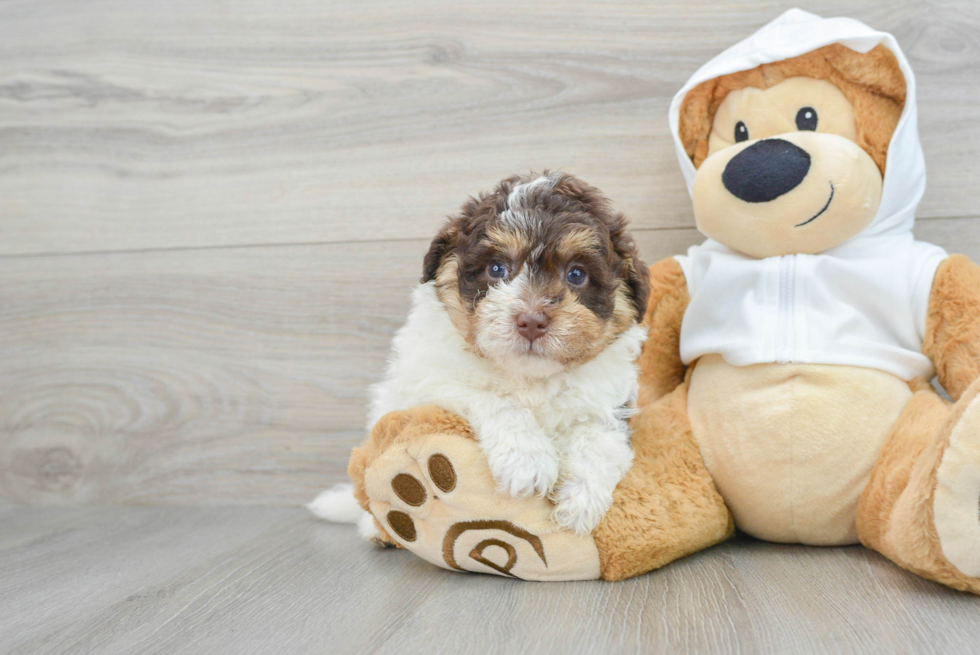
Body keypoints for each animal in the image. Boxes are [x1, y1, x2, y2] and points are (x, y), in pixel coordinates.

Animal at [368, 172, 652, 536]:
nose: (531, 321)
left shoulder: (610, 403)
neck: (530, 377)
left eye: (577, 274)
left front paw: (580, 501)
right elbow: (496, 398)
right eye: (497, 269)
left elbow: (600, 441)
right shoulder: (430, 377)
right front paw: (527, 460)